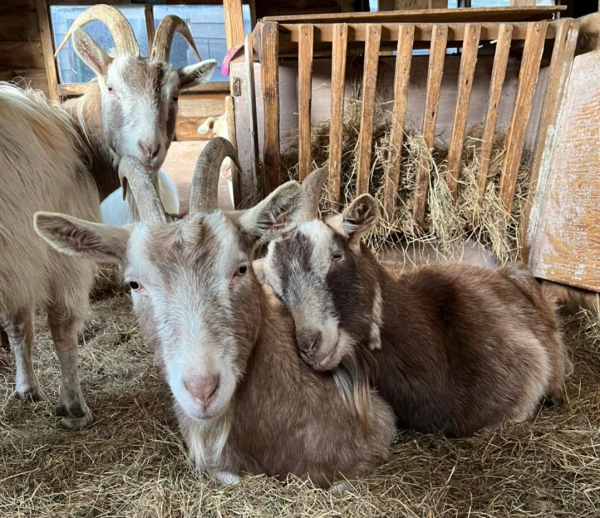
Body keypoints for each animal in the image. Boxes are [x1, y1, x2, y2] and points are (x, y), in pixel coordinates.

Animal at [0, 5, 216, 430]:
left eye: (175, 94)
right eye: (113, 88)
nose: (149, 148)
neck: (75, 137)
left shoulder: (19, 258)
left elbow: (18, 320)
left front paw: (26, 389)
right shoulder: (51, 251)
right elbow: (61, 323)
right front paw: (72, 408)